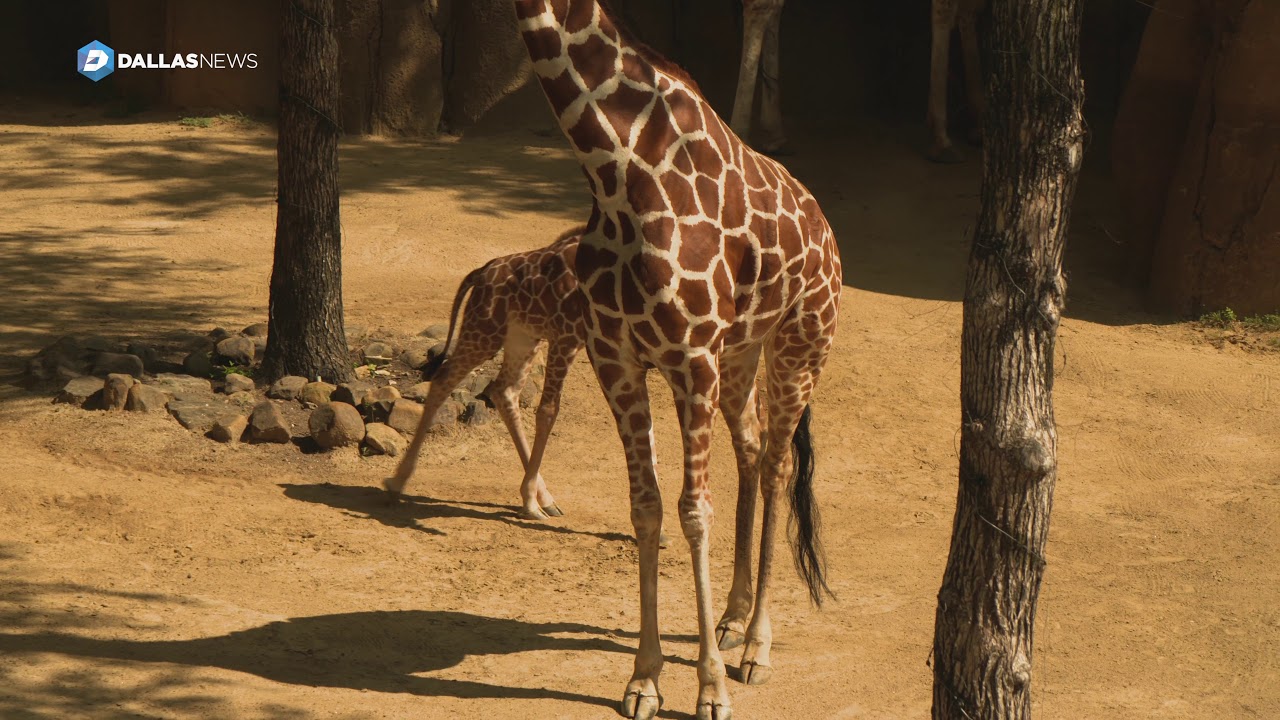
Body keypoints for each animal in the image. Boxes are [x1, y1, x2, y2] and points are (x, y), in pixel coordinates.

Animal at [384, 226, 587, 521]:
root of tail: (482, 272)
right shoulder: (568, 337)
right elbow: (549, 410)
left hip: (523, 336)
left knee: (504, 390)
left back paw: (542, 499)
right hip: (487, 330)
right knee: (445, 378)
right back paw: (398, 482)